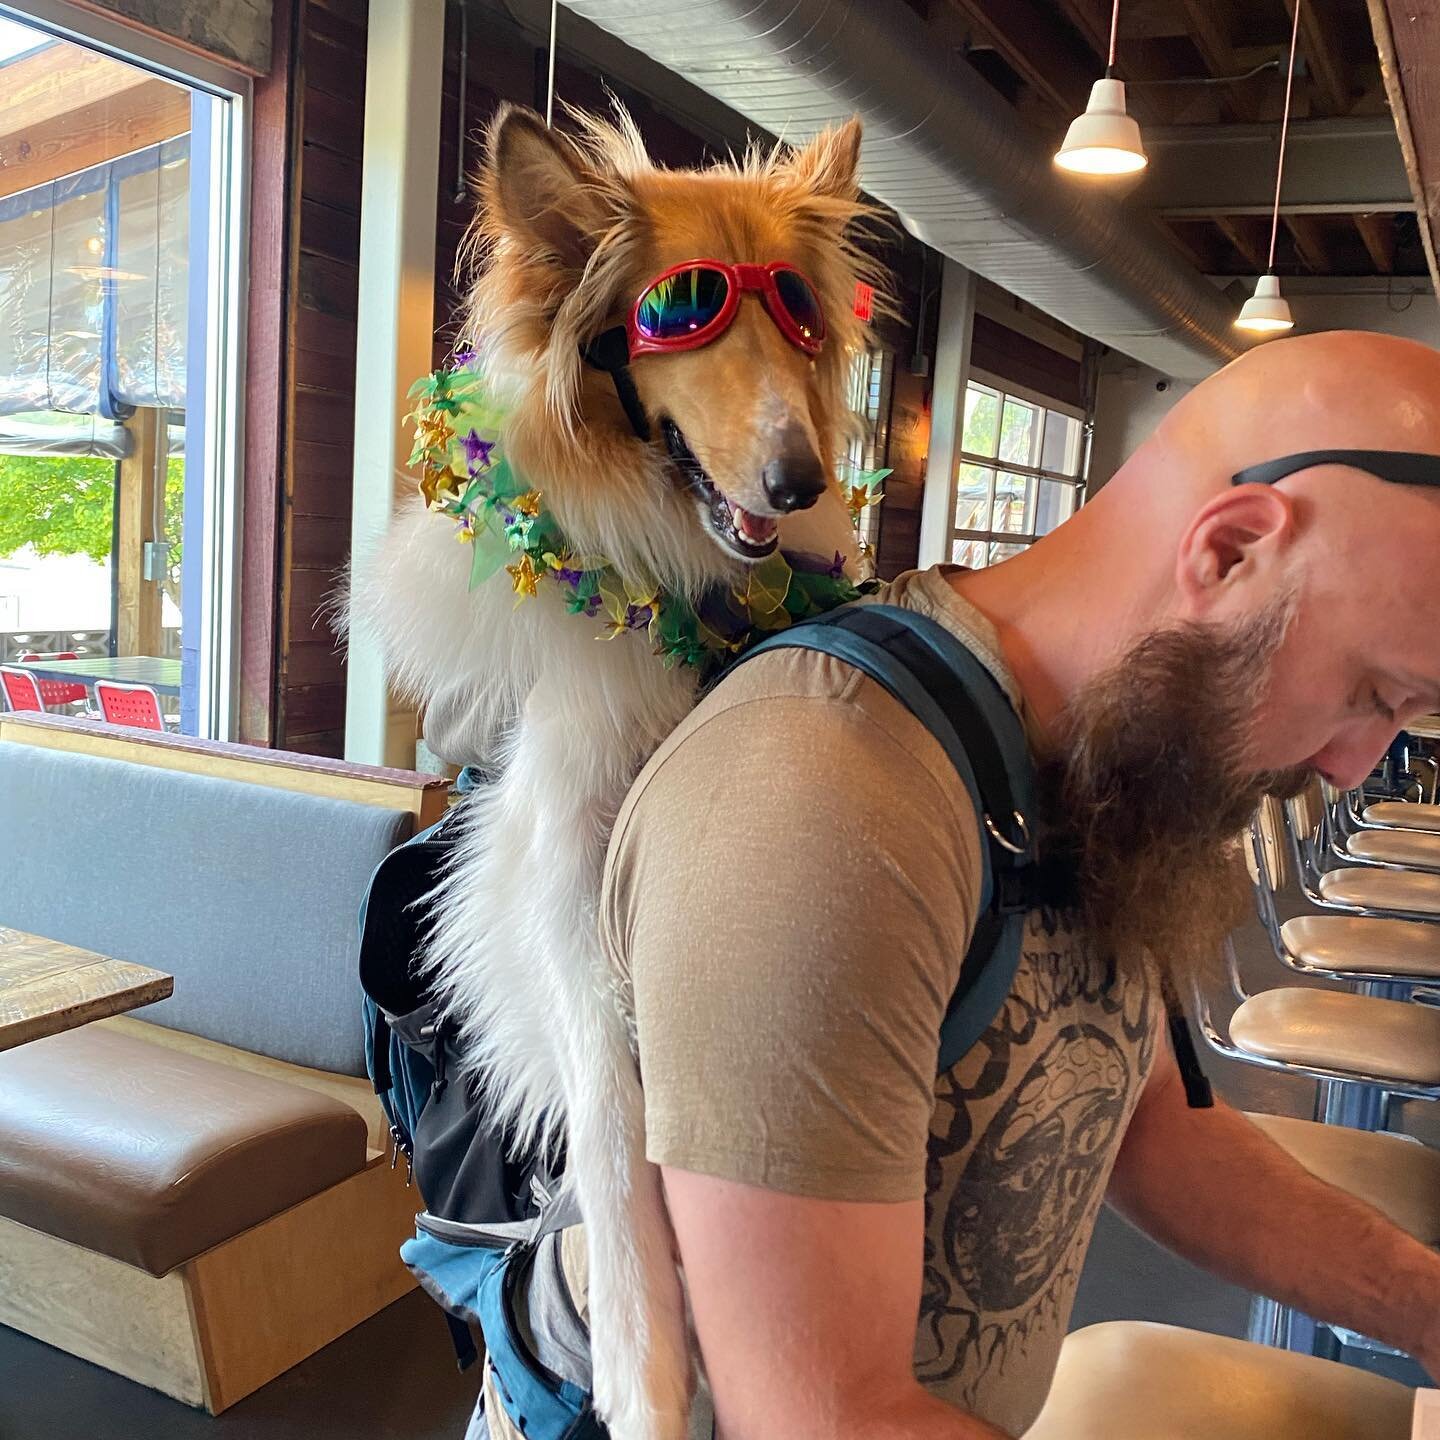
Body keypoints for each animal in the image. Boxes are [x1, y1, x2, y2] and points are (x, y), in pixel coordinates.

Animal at [345, 106, 875, 1434]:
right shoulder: (553, 866)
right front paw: (644, 1367)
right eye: (681, 308)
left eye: (800, 310)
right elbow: (609, 1105)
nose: (799, 481)